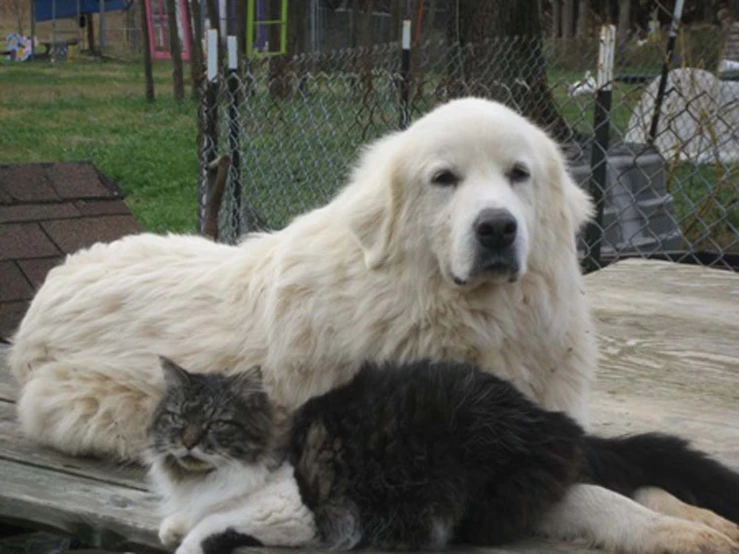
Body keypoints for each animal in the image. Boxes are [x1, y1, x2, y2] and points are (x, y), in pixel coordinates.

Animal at [7, 98, 739, 552]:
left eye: (518, 175)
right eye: (444, 180)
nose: (496, 228)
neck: (465, 314)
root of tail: (52, 282)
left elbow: (639, 474)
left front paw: (695, 513)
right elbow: (595, 497)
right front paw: (678, 531)